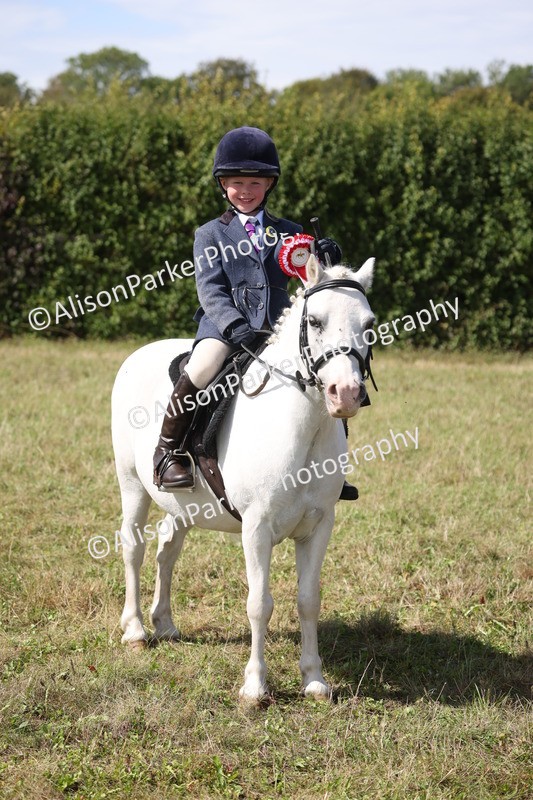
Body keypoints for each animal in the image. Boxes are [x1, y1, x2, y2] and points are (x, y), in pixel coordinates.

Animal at [111, 254, 376, 703]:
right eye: (316, 321)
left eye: (370, 323)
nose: (345, 393)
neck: (300, 426)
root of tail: (138, 354)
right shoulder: (256, 527)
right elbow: (259, 604)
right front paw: (255, 686)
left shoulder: (319, 526)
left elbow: (308, 600)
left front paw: (314, 680)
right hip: (132, 485)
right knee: (134, 547)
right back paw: (135, 630)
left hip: (183, 504)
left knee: (167, 549)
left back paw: (165, 623)